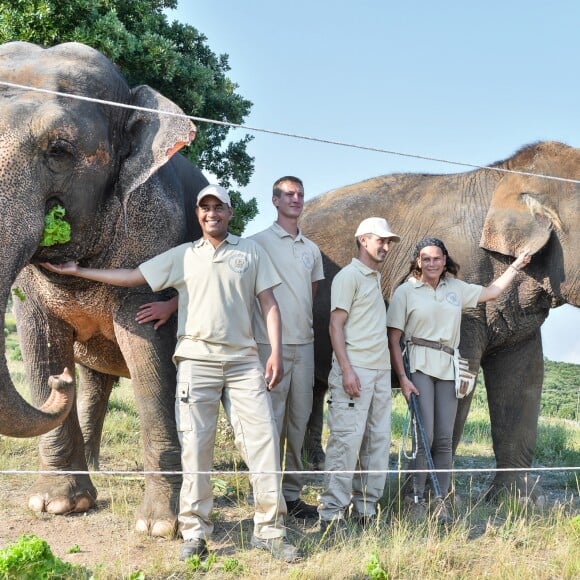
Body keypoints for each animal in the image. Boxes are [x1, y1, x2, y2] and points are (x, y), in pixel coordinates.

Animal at [0, 40, 208, 536]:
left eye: (58, 149)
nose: (59, 384)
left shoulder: (156, 231)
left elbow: (148, 350)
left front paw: (161, 527)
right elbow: (40, 341)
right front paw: (57, 505)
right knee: (96, 381)